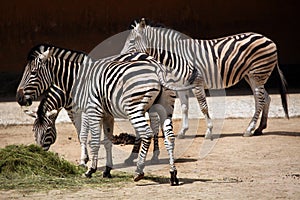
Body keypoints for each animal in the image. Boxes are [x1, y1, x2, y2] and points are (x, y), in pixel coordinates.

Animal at [15, 44, 195, 185]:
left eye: (33, 73)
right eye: (34, 131)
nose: (19, 98)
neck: (76, 82)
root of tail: (154, 63)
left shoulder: (89, 110)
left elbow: (90, 139)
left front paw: (89, 168)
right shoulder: (103, 114)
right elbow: (106, 140)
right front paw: (106, 170)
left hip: (135, 107)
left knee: (147, 132)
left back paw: (139, 170)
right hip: (164, 107)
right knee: (169, 136)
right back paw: (172, 174)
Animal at [120, 18, 290, 138]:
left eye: (132, 41)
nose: (120, 57)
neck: (175, 57)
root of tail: (268, 39)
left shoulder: (197, 83)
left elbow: (203, 107)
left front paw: (209, 131)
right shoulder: (181, 86)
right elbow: (184, 107)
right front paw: (182, 132)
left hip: (257, 73)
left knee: (260, 100)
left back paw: (249, 129)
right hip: (251, 76)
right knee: (264, 98)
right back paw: (259, 128)